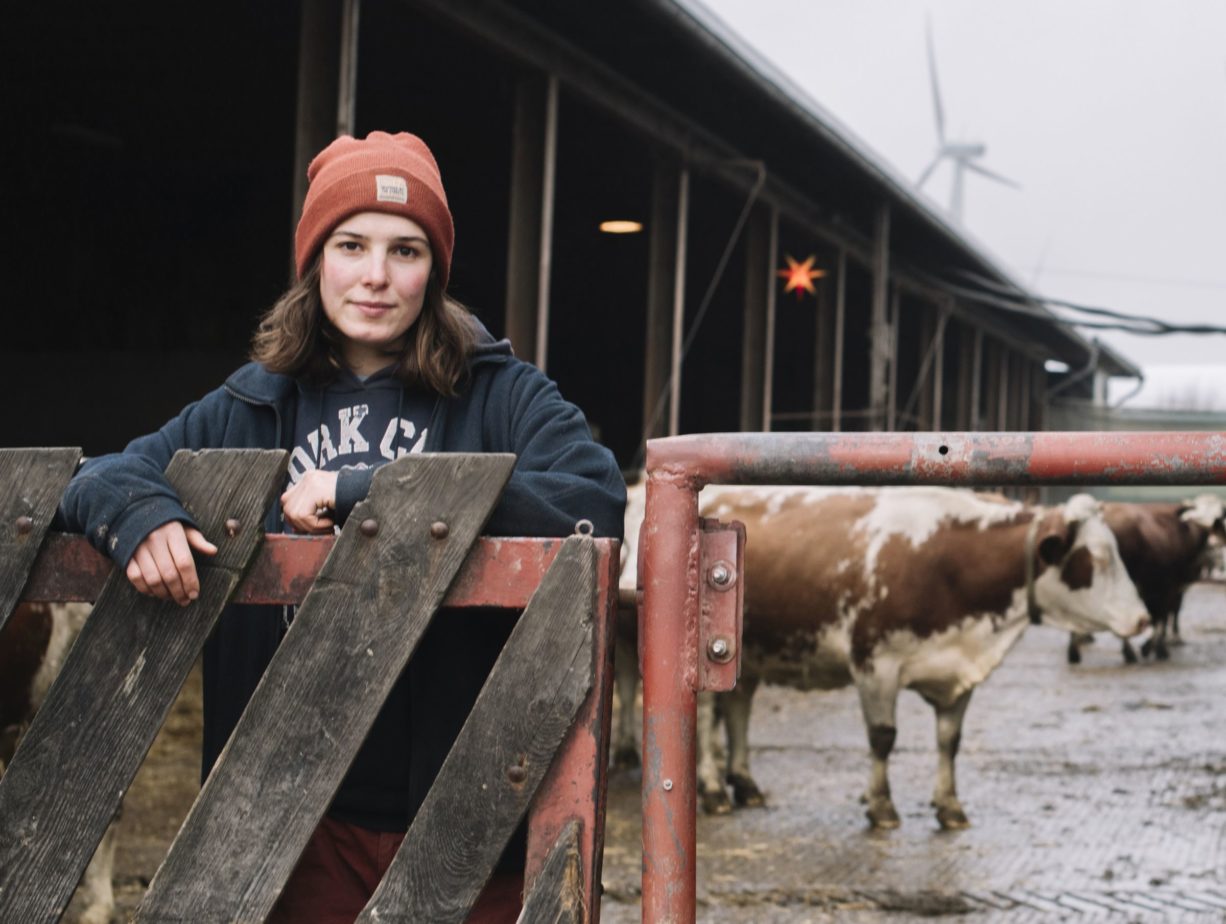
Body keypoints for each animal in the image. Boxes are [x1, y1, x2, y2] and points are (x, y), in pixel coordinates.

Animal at [622, 482, 1147, 828]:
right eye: (1097, 560)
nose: (1142, 619)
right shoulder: (875, 664)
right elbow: (883, 738)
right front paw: (881, 806)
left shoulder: (958, 674)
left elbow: (949, 741)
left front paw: (950, 806)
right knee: (707, 713)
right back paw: (713, 789)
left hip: (749, 651)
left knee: (738, 708)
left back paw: (745, 783)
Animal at [1064, 497, 1226, 661]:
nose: (1215, 543)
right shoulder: (1168, 586)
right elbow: (1161, 615)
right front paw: (1157, 648)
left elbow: (1160, 616)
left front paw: (1153, 646)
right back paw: (1128, 653)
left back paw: (1075, 651)